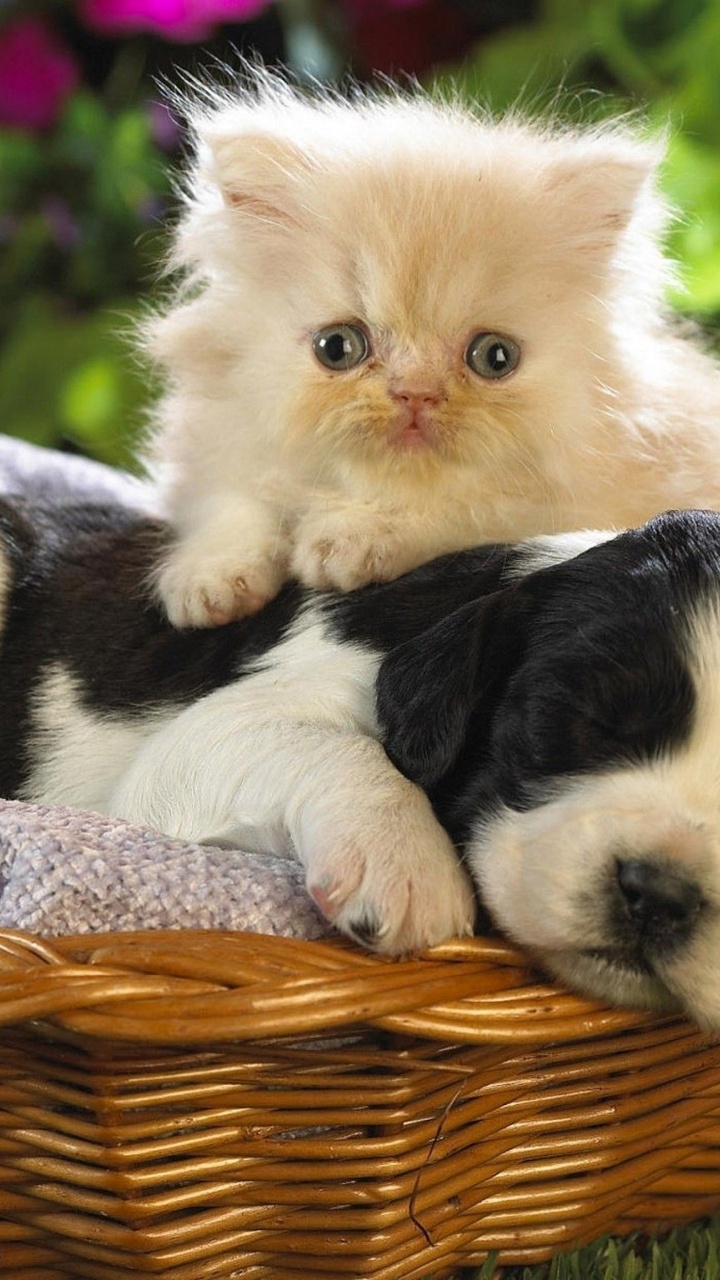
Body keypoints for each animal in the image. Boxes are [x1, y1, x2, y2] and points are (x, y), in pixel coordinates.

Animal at [144, 70, 717, 629]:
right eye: (338, 347)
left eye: (495, 357)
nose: (415, 393)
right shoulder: (220, 445)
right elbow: (232, 501)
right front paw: (210, 579)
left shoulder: (573, 503)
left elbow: (466, 505)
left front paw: (352, 537)